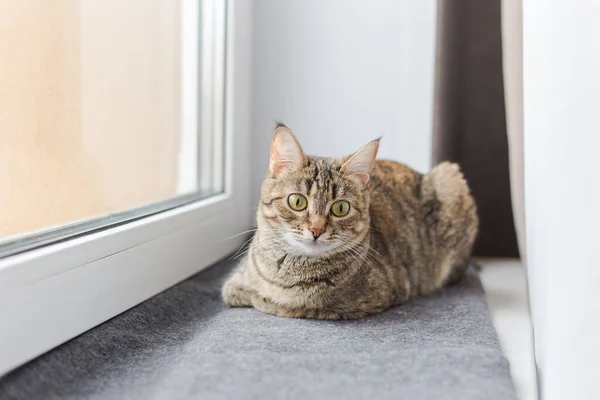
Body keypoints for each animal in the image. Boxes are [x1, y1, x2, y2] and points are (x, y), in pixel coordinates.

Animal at [220, 123, 478, 320]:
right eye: (297, 201)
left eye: (340, 208)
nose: (316, 230)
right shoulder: (236, 279)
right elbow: (234, 289)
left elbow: (281, 304)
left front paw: (262, 297)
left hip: (449, 178)